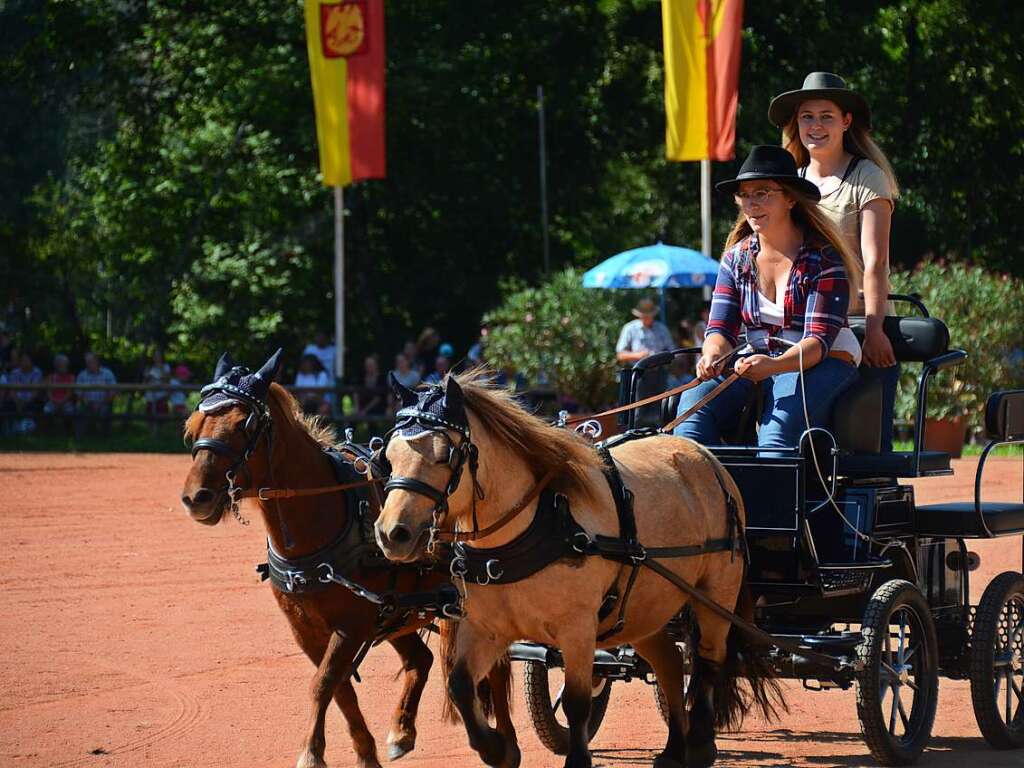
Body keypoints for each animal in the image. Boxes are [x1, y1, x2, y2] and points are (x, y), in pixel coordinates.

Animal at [180, 354, 512, 768]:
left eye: (246, 424)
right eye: (196, 423)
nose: (197, 497)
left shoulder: (351, 625)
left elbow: (323, 683)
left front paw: (310, 752)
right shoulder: (306, 628)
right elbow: (340, 689)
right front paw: (365, 754)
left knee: (496, 668)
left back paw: (504, 741)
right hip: (397, 611)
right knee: (420, 659)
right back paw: (402, 731)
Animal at [376, 370, 782, 765]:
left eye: (445, 455)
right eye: (388, 455)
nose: (392, 533)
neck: (533, 525)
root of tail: (707, 458)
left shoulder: (577, 629)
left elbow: (576, 702)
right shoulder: (486, 628)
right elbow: (460, 685)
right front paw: (496, 748)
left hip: (716, 594)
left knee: (709, 662)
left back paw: (698, 744)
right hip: (642, 610)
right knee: (670, 660)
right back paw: (673, 751)